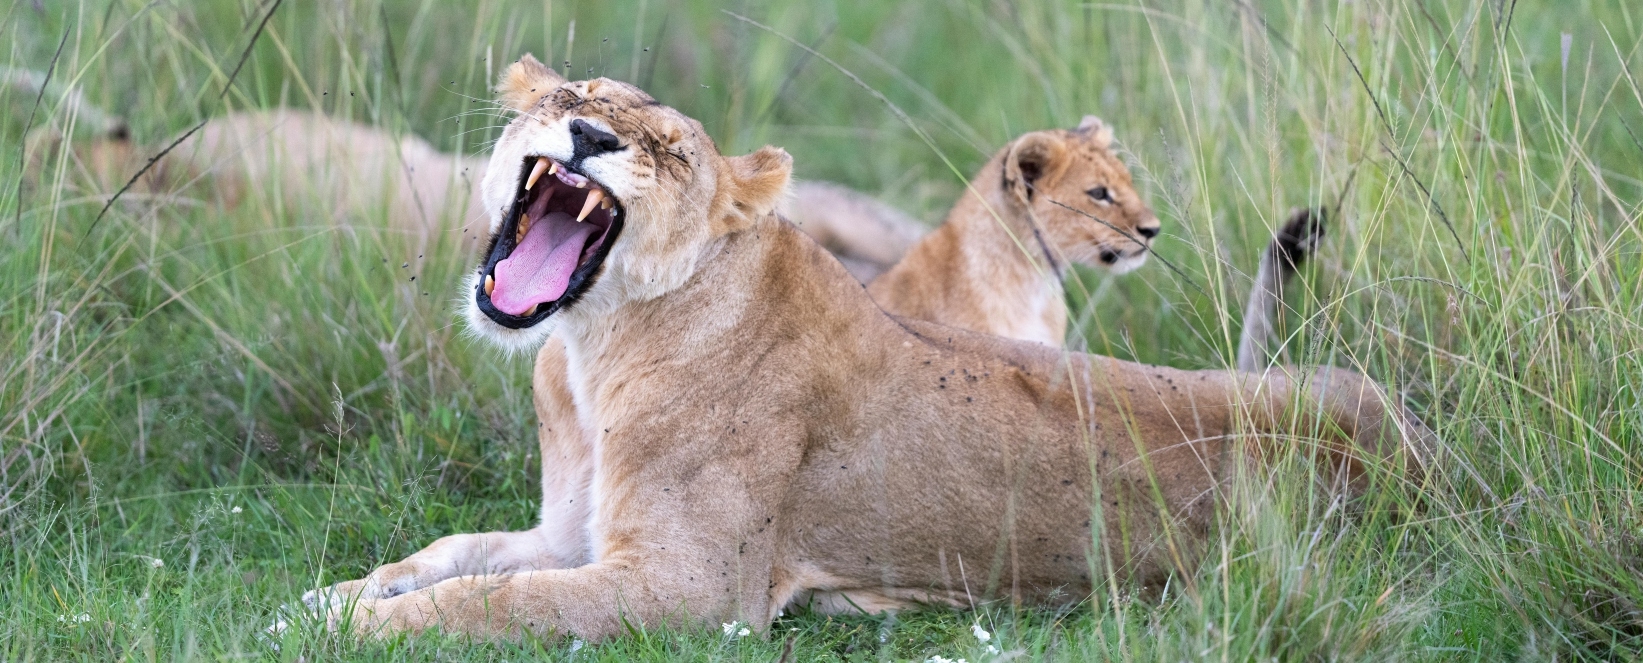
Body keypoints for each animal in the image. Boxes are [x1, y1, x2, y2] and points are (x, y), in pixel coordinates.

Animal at [292, 56, 1434, 642]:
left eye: (669, 151)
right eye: (571, 104)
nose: (589, 140)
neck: (583, 347)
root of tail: (1419, 441)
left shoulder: (690, 588)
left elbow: (494, 601)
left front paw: (342, 634)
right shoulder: (573, 530)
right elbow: (452, 553)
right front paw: (333, 595)